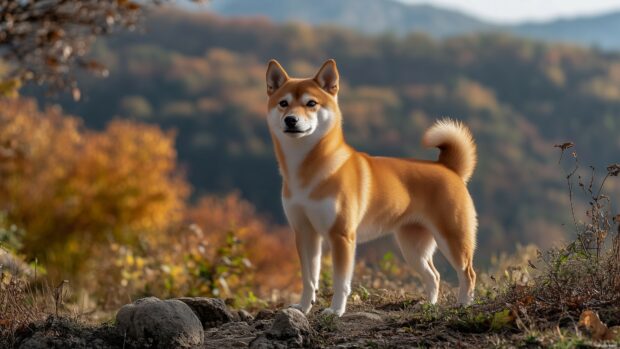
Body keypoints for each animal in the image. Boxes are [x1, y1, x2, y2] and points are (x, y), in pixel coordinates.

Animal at [264, 58, 478, 314]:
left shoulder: (342, 235)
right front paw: (303, 308)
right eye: (283, 103)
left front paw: (336, 311)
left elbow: (340, 282)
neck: (307, 172)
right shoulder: (305, 233)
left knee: (468, 273)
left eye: (311, 103)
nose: (291, 120)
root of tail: (449, 168)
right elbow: (308, 279)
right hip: (413, 247)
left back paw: (464, 304)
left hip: (453, 238)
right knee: (433, 276)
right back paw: (427, 305)